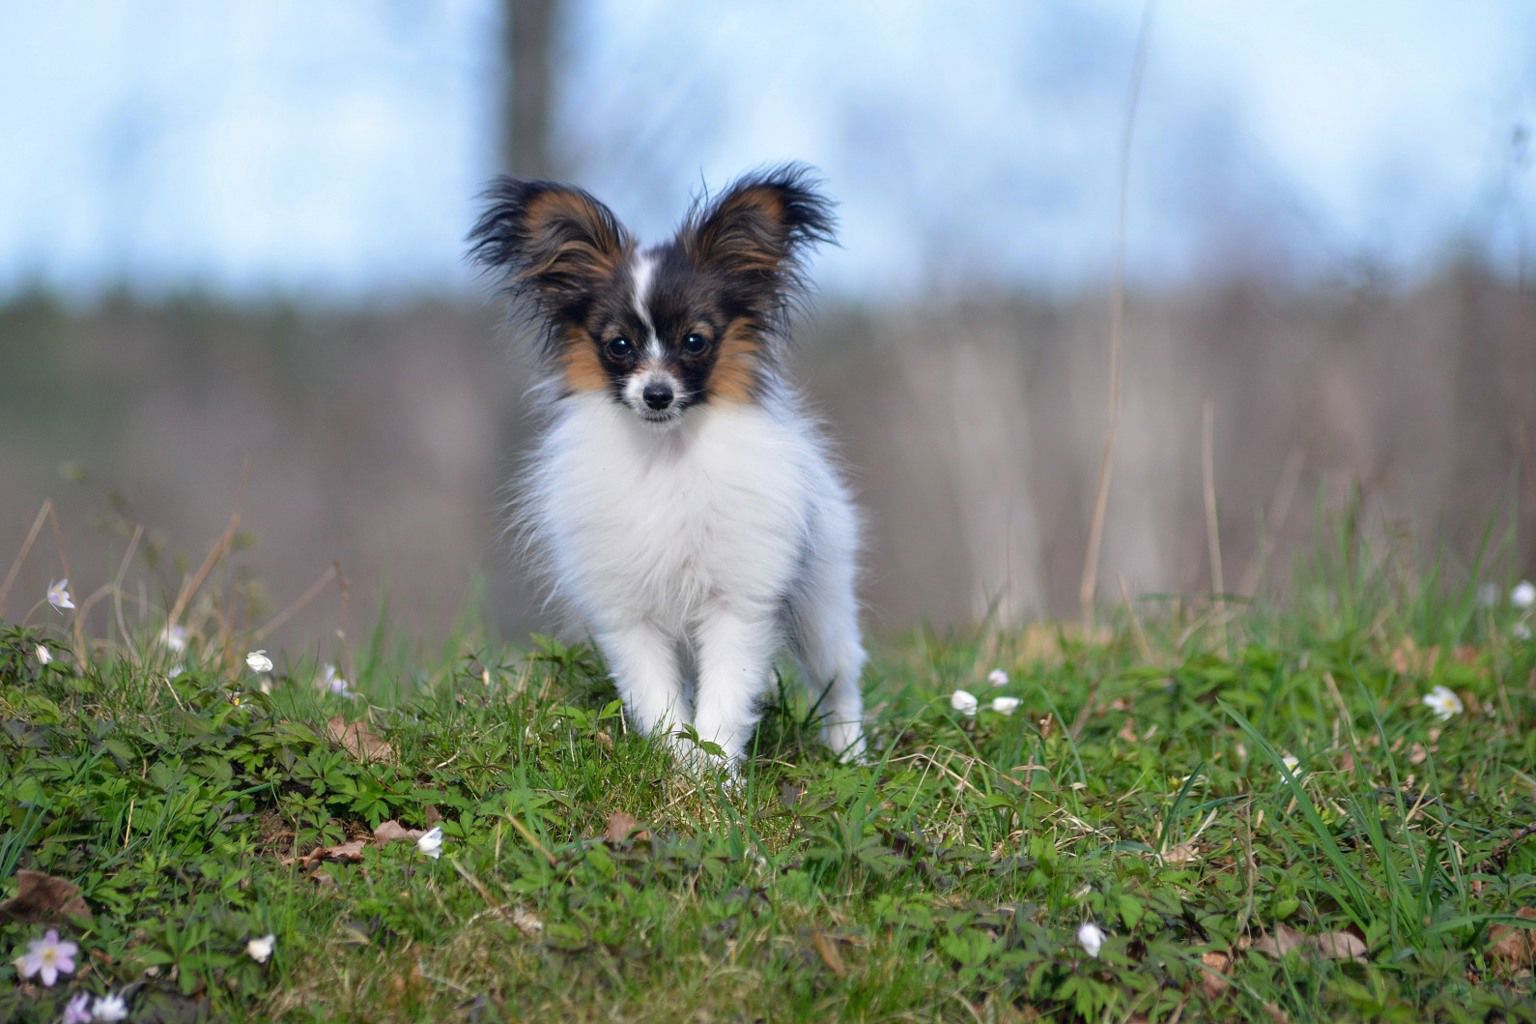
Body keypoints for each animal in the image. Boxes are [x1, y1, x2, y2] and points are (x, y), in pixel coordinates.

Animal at [470, 161, 866, 767]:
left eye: (695, 341)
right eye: (619, 345)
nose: (656, 394)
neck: (667, 456)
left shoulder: (738, 602)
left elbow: (723, 701)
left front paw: (716, 777)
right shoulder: (629, 614)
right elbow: (659, 703)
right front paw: (679, 771)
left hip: (824, 601)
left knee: (840, 677)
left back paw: (852, 755)